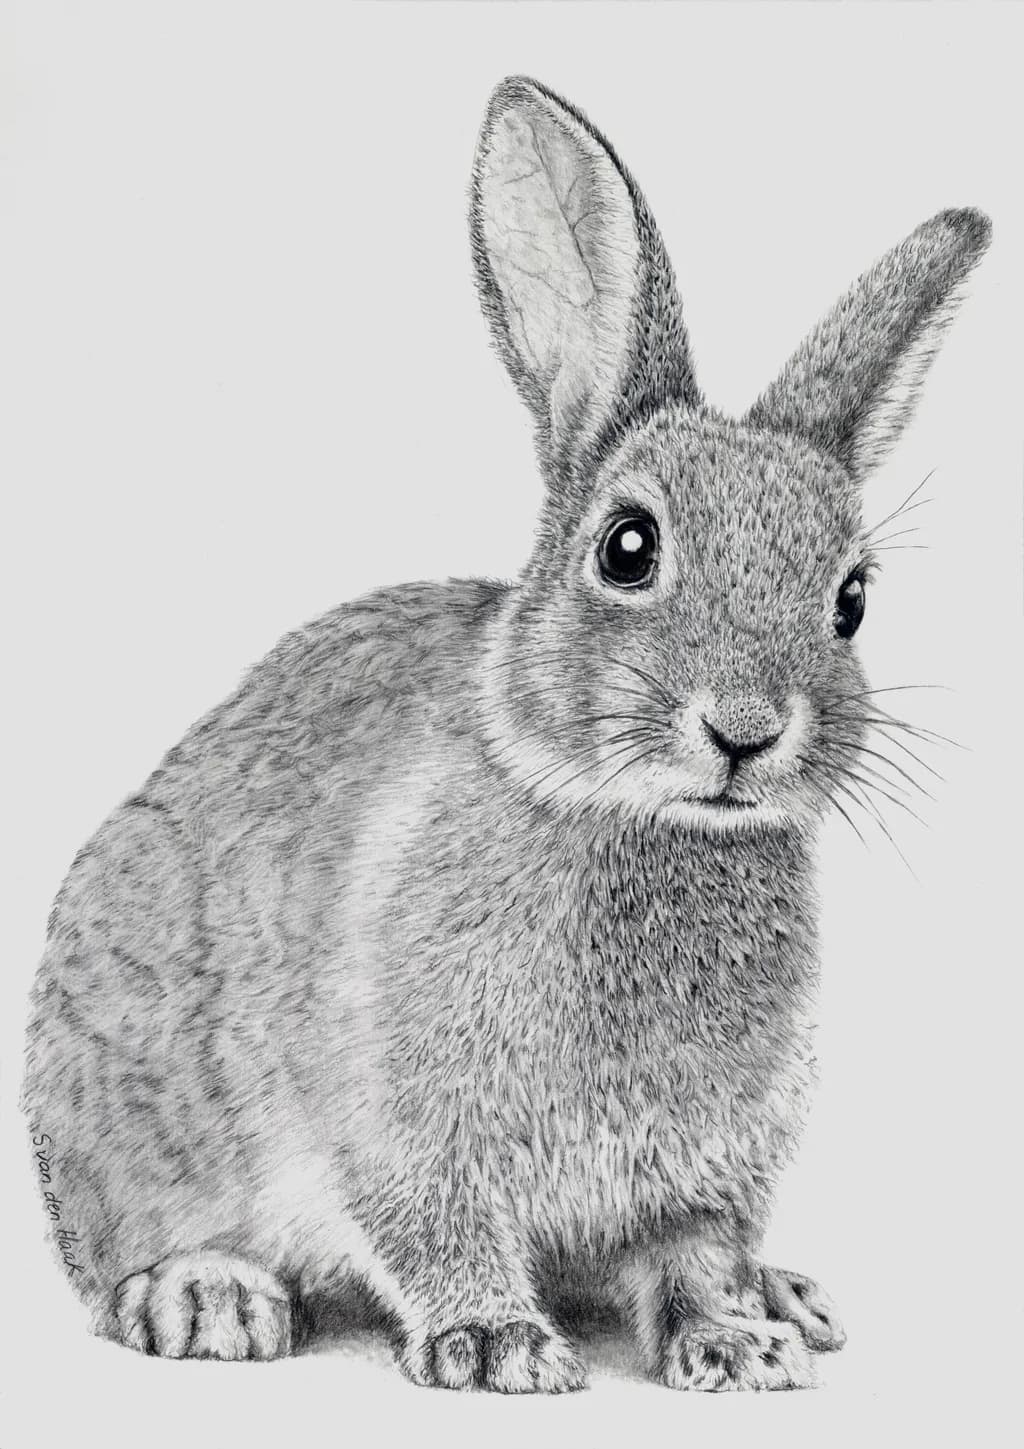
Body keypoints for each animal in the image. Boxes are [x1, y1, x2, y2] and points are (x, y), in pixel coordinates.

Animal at [22, 75, 990, 1393]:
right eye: (626, 547)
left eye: (850, 601)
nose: (745, 729)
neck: (635, 820)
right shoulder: (404, 1130)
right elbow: (438, 1227)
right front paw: (495, 1347)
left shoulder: (705, 1172)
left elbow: (693, 1259)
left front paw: (735, 1347)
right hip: (115, 1100)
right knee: (123, 1248)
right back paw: (207, 1297)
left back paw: (787, 1297)